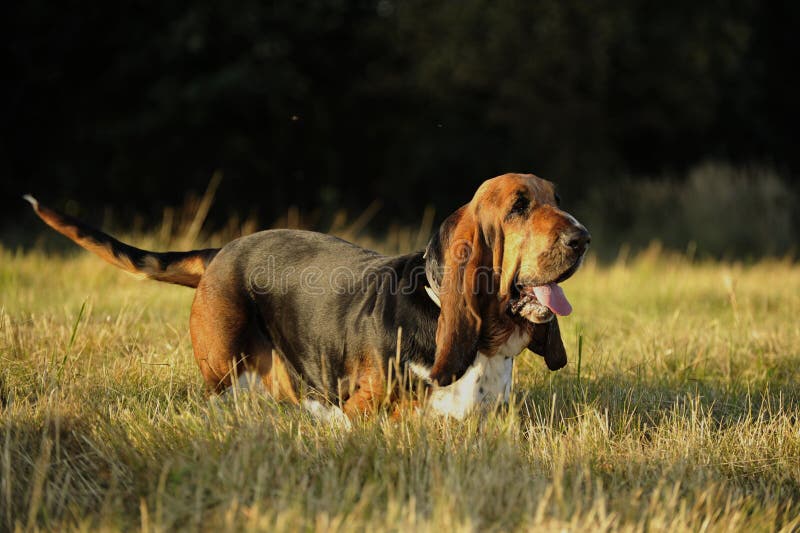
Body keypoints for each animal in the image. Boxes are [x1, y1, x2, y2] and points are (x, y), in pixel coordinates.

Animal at [25, 172, 592, 418]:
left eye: (557, 199)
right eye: (519, 206)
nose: (583, 238)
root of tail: (222, 250)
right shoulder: (366, 411)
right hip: (225, 370)